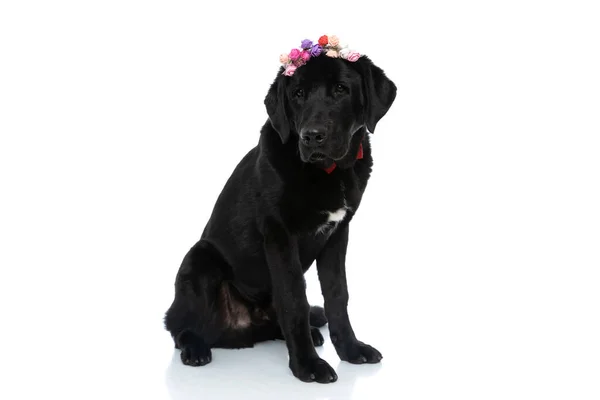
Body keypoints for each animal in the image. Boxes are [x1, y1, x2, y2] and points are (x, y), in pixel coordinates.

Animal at [164, 51, 396, 382]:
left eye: (341, 89)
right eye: (297, 94)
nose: (312, 136)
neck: (327, 173)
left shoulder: (338, 234)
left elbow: (338, 295)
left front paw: (351, 350)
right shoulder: (280, 236)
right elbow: (293, 299)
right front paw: (307, 365)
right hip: (198, 259)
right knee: (180, 325)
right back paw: (195, 348)